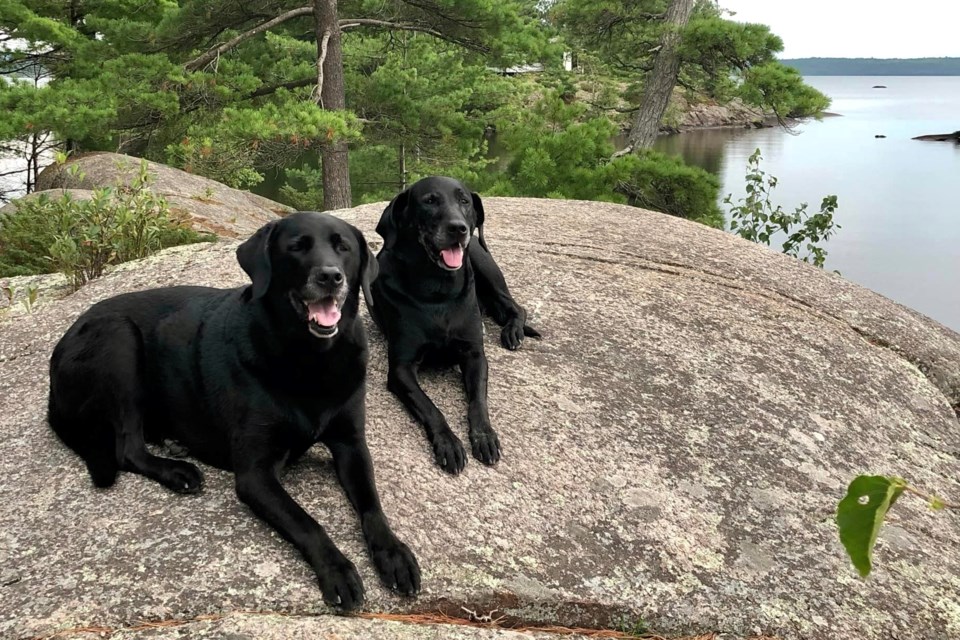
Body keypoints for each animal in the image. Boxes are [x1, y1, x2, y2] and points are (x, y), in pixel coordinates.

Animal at [47, 211, 418, 608]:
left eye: (343, 247)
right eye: (297, 247)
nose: (331, 277)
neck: (309, 361)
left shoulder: (351, 444)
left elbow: (372, 505)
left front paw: (394, 553)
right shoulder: (255, 474)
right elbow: (306, 522)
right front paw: (337, 569)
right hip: (119, 339)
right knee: (126, 448)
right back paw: (176, 471)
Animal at [370, 175, 540, 476]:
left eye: (464, 201)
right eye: (429, 201)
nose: (458, 228)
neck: (437, 290)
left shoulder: (474, 355)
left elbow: (478, 401)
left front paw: (484, 435)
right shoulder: (401, 369)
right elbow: (430, 407)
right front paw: (448, 442)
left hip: (483, 264)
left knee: (515, 307)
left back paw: (513, 331)